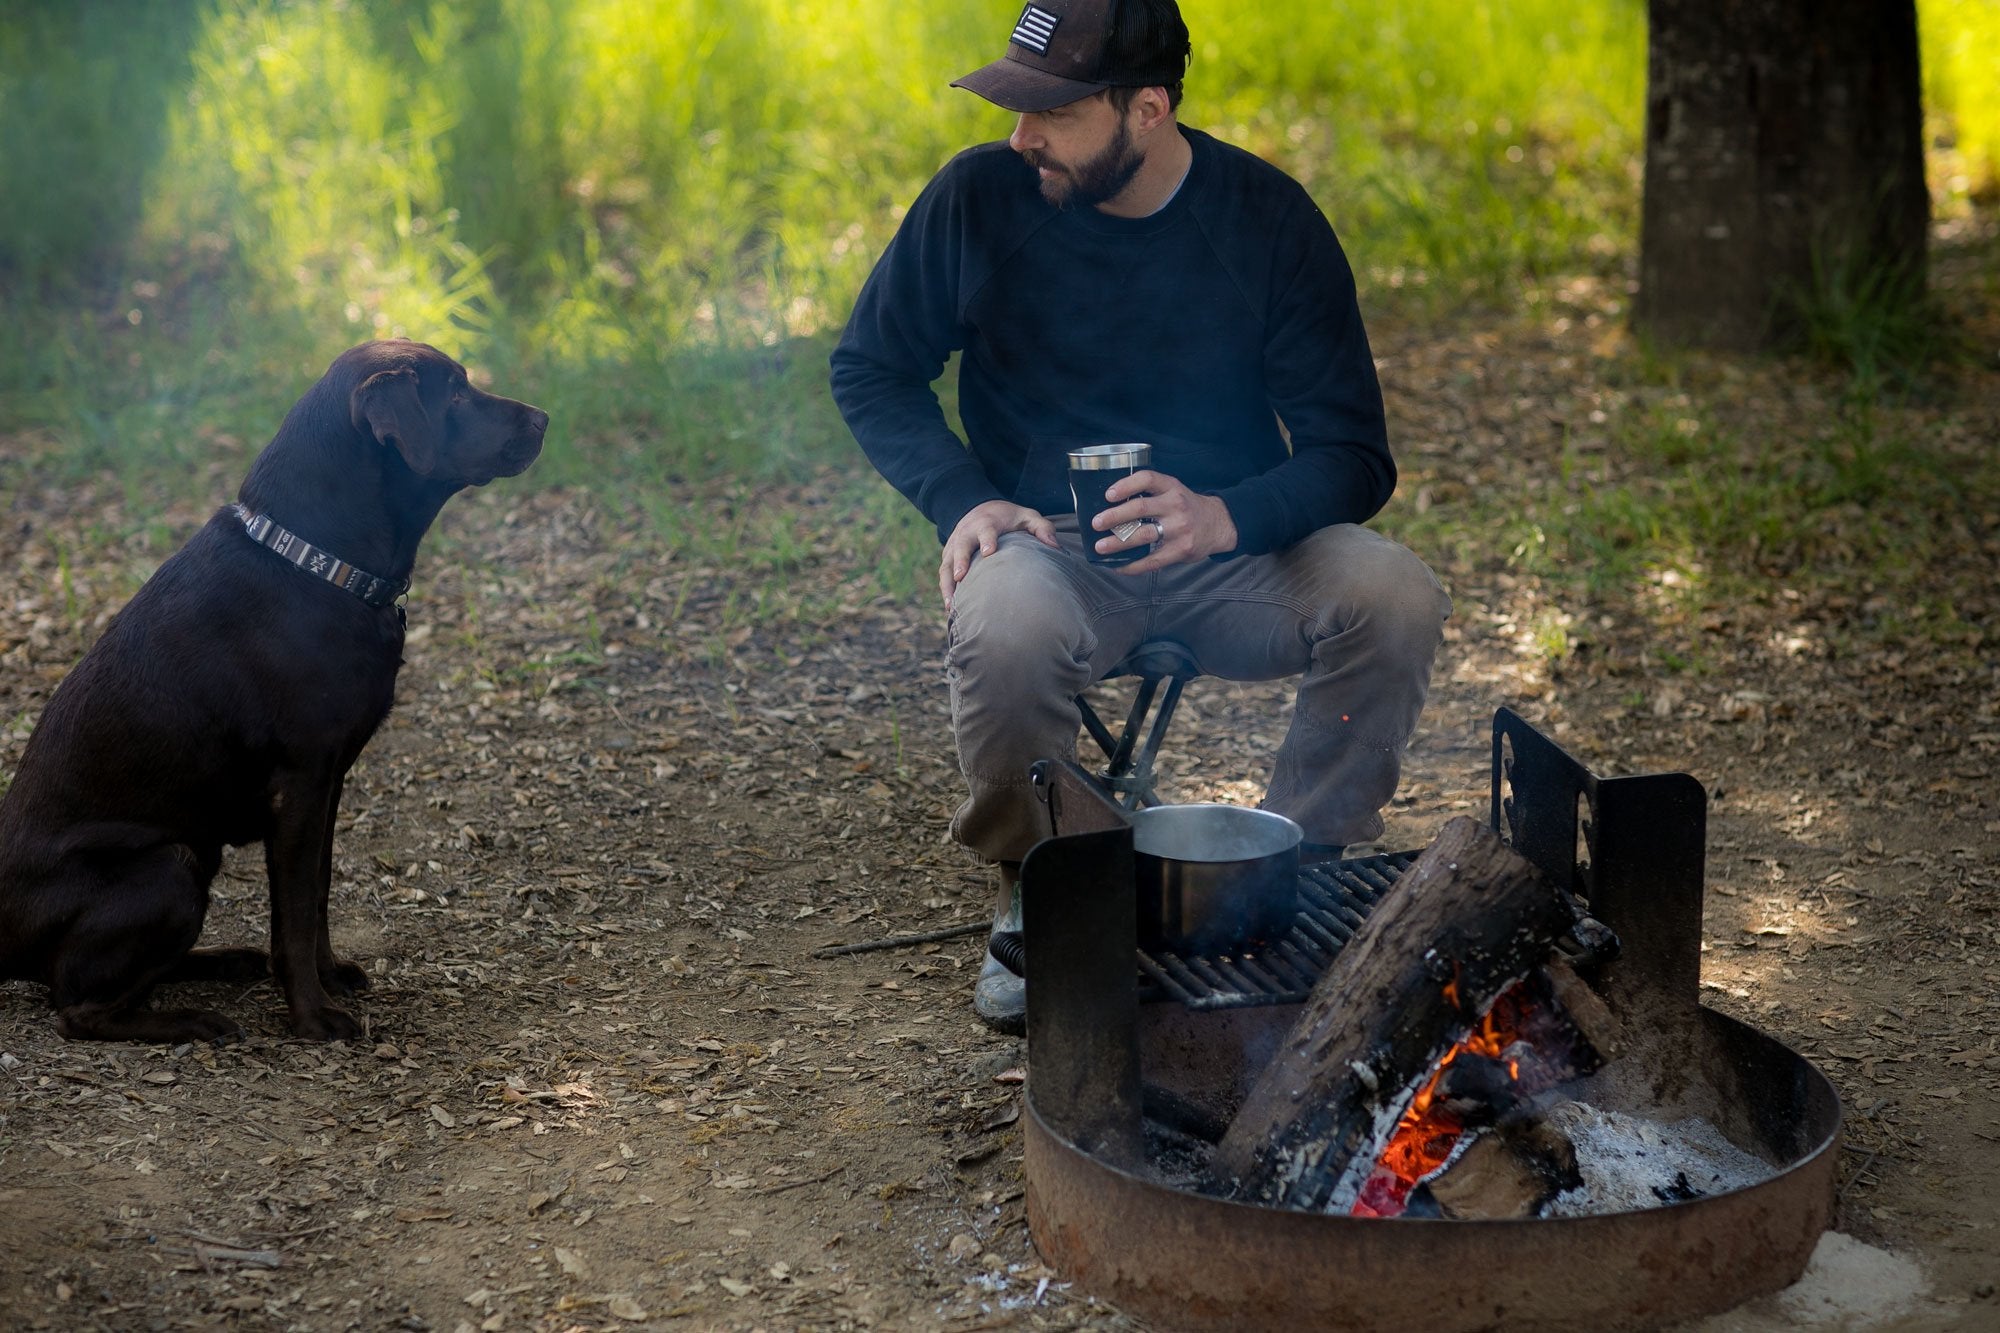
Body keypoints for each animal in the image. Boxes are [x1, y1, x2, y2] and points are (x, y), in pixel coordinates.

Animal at [0, 340, 548, 1040]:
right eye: (454, 392)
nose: (544, 419)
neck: (317, 561)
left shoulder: (330, 781)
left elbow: (317, 894)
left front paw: (331, 976)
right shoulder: (299, 784)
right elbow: (293, 914)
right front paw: (313, 1017)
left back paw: (223, 962)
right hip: (172, 865)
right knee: (78, 1008)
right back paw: (192, 1021)